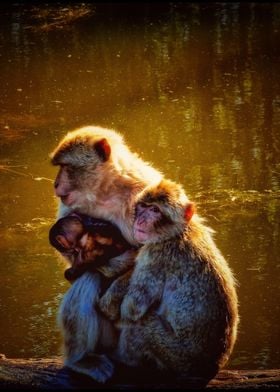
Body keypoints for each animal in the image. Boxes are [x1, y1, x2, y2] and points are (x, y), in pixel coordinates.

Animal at [98, 179, 238, 384]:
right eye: (143, 206)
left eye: (155, 210)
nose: (140, 220)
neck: (178, 232)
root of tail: (211, 368)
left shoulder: (157, 255)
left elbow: (132, 308)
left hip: (176, 356)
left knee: (140, 328)